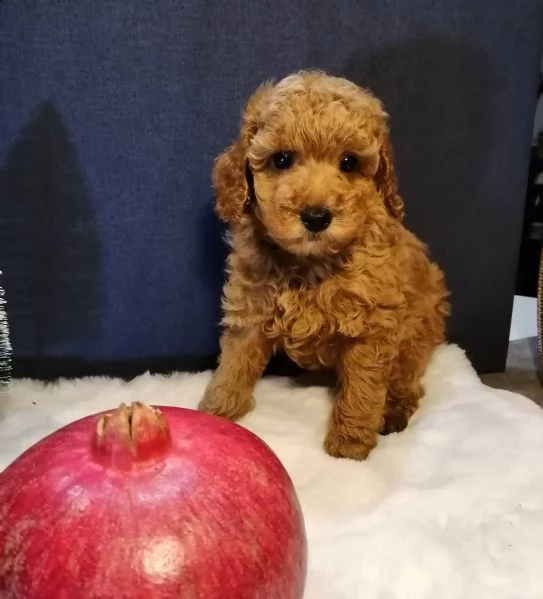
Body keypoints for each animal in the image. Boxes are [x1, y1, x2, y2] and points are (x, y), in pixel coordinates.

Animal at [200, 72, 450, 462]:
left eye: (349, 162)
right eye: (282, 159)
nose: (316, 217)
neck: (309, 263)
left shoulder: (372, 327)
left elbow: (362, 389)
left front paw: (349, 447)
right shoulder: (251, 308)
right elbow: (235, 363)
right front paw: (219, 412)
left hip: (417, 331)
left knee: (406, 379)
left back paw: (393, 412)